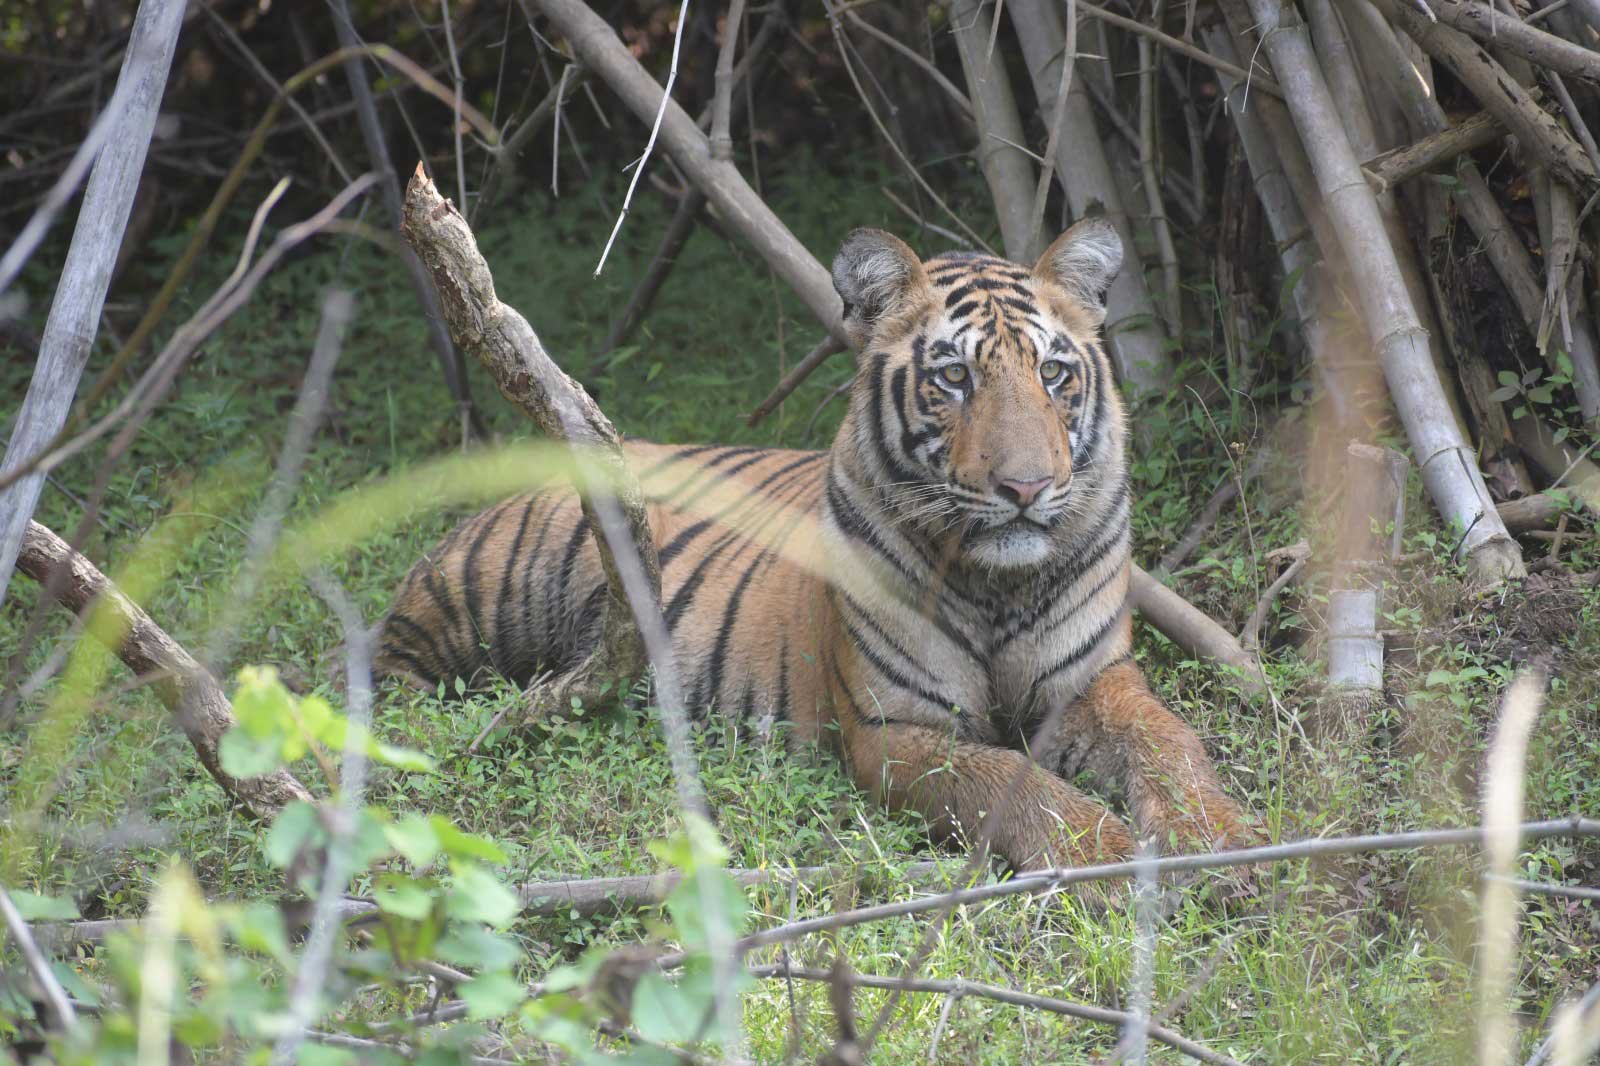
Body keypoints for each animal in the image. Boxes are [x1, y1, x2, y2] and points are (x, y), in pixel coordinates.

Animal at [375, 219, 1258, 872]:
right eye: (954, 379)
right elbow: (1012, 780)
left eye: (1053, 374)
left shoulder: (1096, 681)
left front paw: (1224, 844)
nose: (1027, 487)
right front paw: (1108, 856)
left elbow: (1170, 741)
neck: (996, 582)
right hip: (478, 596)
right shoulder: (892, 729)